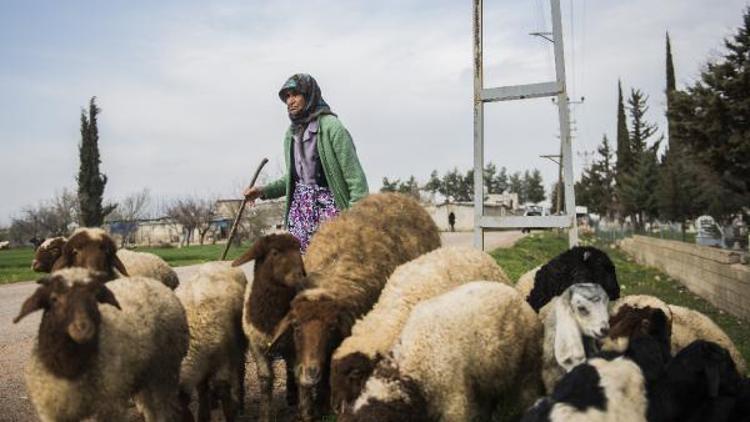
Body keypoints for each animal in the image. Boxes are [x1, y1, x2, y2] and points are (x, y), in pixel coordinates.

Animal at [15, 268, 188, 420]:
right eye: (54, 298)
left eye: (94, 298)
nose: (83, 328)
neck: (70, 371)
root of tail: (152, 281)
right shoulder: (51, 412)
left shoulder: (109, 406)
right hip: (144, 373)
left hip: (164, 372)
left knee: (162, 408)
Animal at [175, 262, 248, 420]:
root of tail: (224, 262)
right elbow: (202, 389)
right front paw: (203, 414)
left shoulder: (223, 362)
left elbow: (223, 390)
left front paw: (230, 414)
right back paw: (213, 401)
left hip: (239, 343)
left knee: (240, 370)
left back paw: (240, 403)